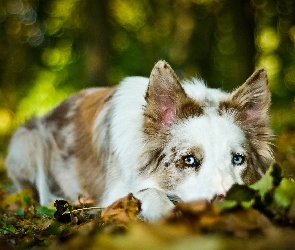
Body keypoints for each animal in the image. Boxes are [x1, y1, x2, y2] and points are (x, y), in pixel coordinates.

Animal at [5, 60, 274, 221]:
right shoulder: (115, 193)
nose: (228, 201)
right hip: (29, 140)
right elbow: (150, 193)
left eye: (238, 159)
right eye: (189, 160)